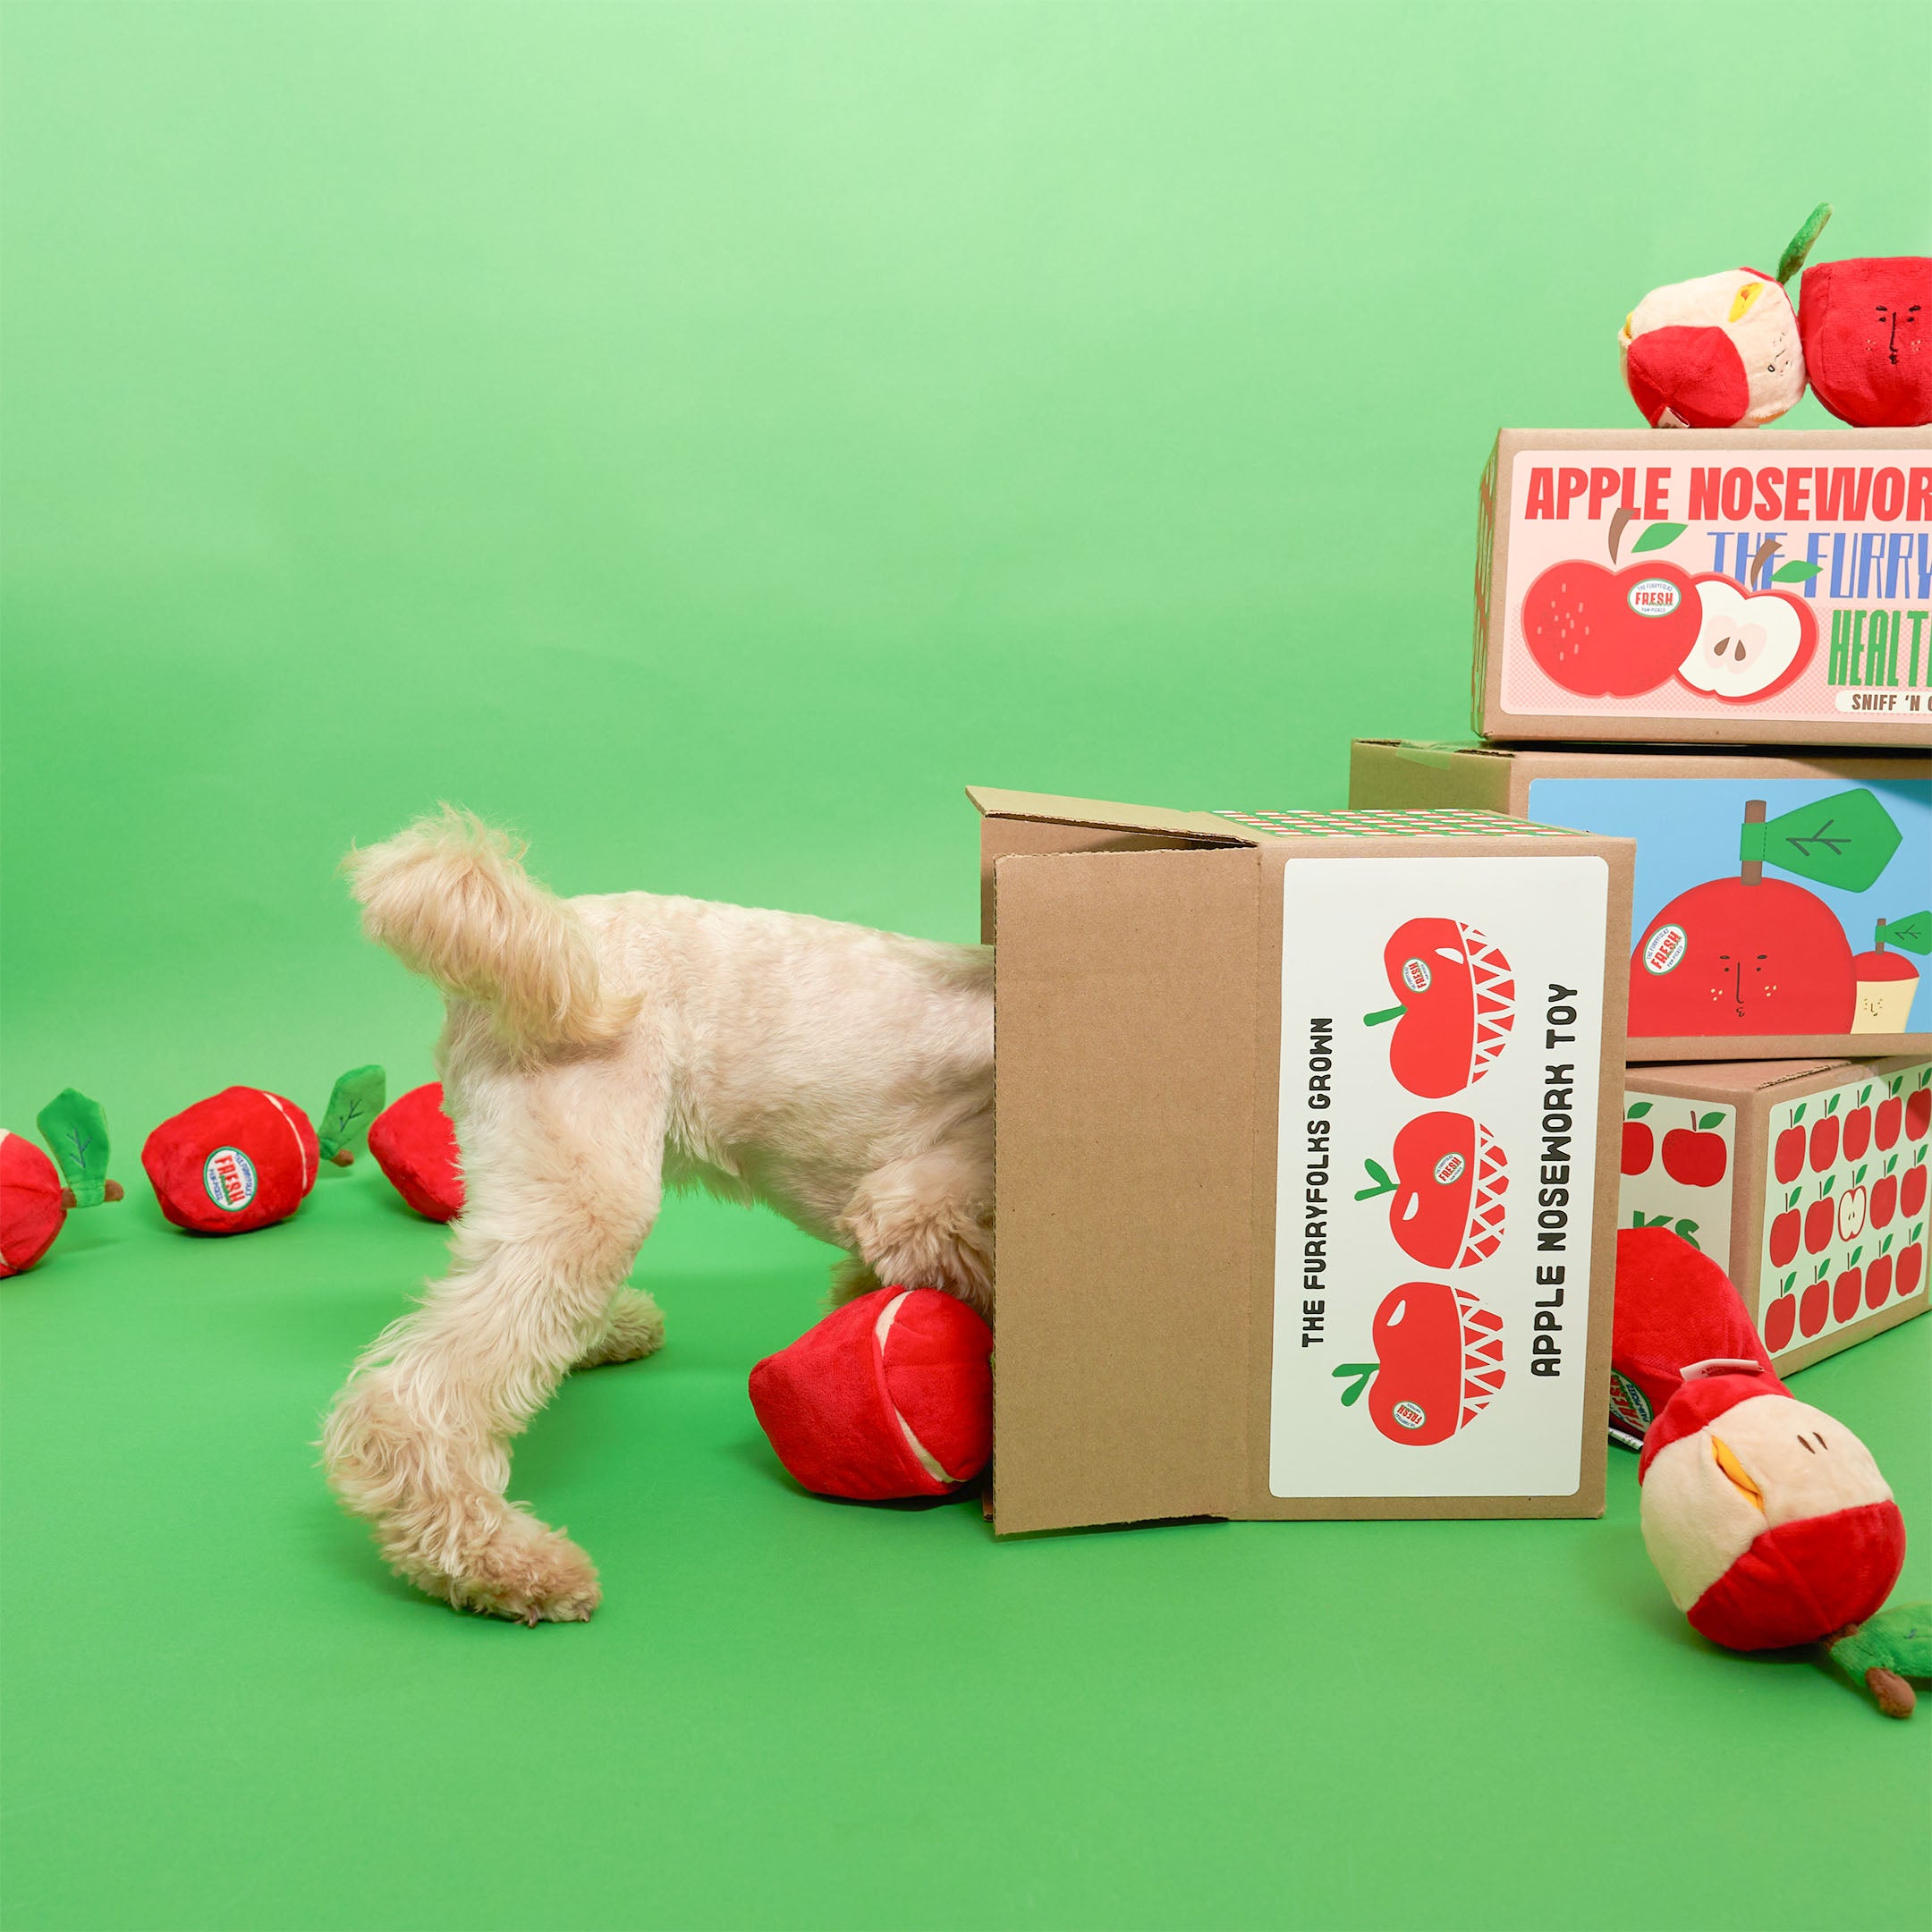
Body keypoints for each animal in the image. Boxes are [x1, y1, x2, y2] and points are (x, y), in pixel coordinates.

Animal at [322, 807, 988, 1623]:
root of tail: (560, 924)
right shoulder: (920, 1201)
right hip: (590, 1196)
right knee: (412, 1400)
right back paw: (501, 1564)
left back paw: (608, 1334)